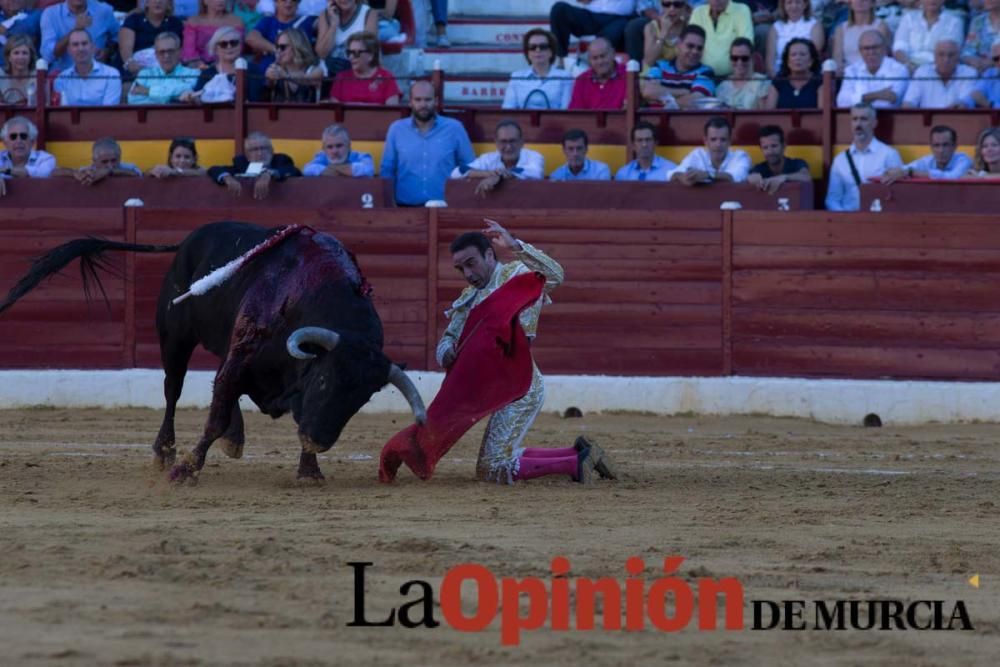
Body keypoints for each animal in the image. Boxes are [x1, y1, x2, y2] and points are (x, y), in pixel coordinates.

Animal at [0, 222, 426, 482]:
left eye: (361, 399)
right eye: (325, 380)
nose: (320, 441)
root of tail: (189, 239)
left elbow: (270, 411)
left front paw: (309, 469)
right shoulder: (245, 355)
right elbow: (214, 416)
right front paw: (186, 469)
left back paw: (234, 439)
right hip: (175, 339)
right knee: (174, 390)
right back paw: (165, 452)